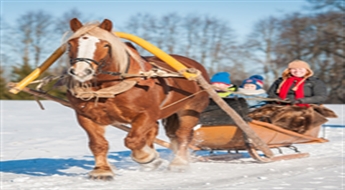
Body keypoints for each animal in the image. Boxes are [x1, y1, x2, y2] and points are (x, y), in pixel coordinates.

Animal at [64, 18, 210, 180]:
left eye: (106, 45)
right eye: (70, 44)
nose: (81, 72)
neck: (109, 88)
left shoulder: (146, 114)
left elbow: (132, 141)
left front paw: (148, 158)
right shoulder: (86, 116)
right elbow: (98, 143)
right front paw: (102, 170)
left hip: (190, 110)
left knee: (182, 135)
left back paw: (179, 163)